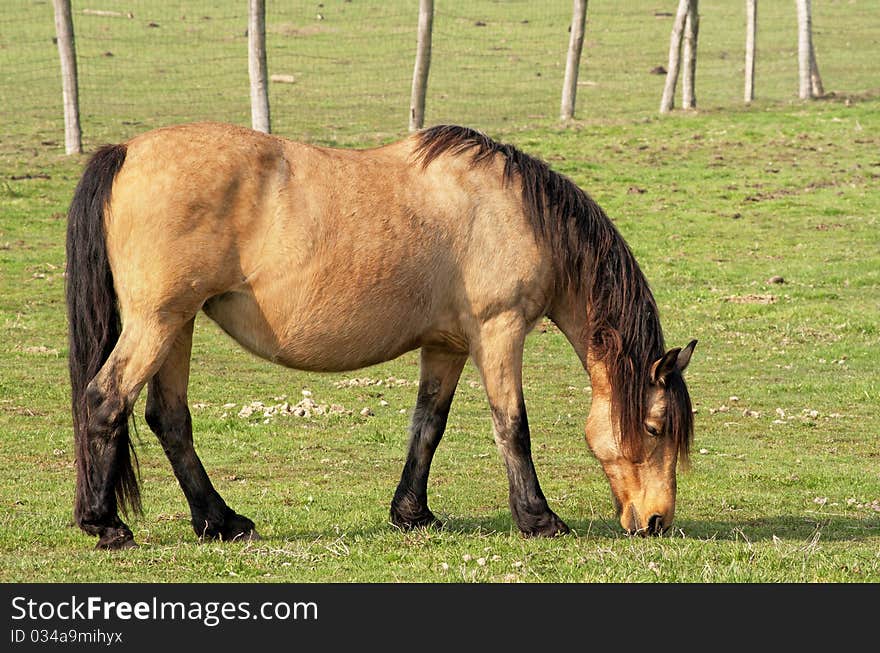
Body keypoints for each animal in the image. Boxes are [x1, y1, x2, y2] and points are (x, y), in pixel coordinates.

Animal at [65, 119, 696, 548]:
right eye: (654, 426)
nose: (657, 520)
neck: (512, 210)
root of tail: (127, 152)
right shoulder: (499, 331)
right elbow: (511, 427)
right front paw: (539, 519)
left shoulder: (448, 345)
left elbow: (428, 426)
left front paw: (412, 514)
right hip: (158, 322)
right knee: (104, 401)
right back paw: (106, 524)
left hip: (179, 324)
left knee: (168, 418)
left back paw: (219, 521)